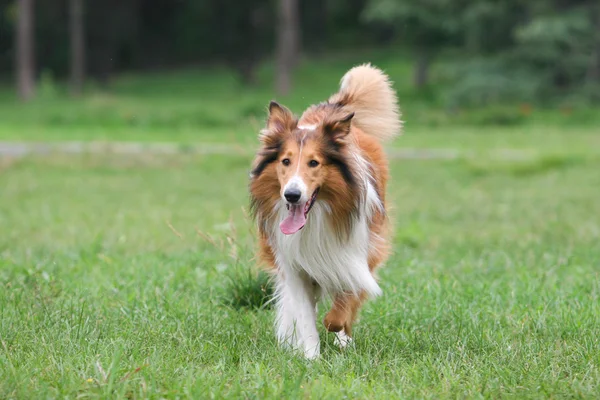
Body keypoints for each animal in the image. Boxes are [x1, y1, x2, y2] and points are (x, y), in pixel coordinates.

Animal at [248, 64, 404, 358]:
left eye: (314, 162)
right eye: (285, 161)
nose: (292, 195)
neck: (317, 217)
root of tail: (331, 109)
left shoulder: (358, 252)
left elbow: (344, 303)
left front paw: (337, 328)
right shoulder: (293, 264)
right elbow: (306, 316)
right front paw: (310, 356)